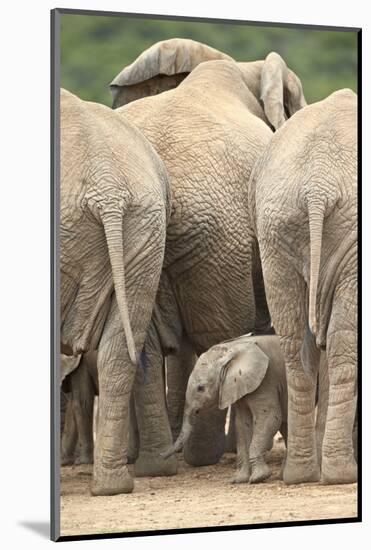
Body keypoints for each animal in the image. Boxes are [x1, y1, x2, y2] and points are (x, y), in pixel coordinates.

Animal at [163, 334, 288, 486]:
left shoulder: (265, 380)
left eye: (200, 388)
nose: (161, 454)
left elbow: (270, 417)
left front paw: (258, 478)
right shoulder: (239, 385)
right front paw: (239, 480)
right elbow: (243, 424)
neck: (232, 350)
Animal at [251, 88, 358, 486]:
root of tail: (317, 186)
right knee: (342, 344)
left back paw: (299, 474)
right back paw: (341, 475)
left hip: (276, 229)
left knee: (296, 343)